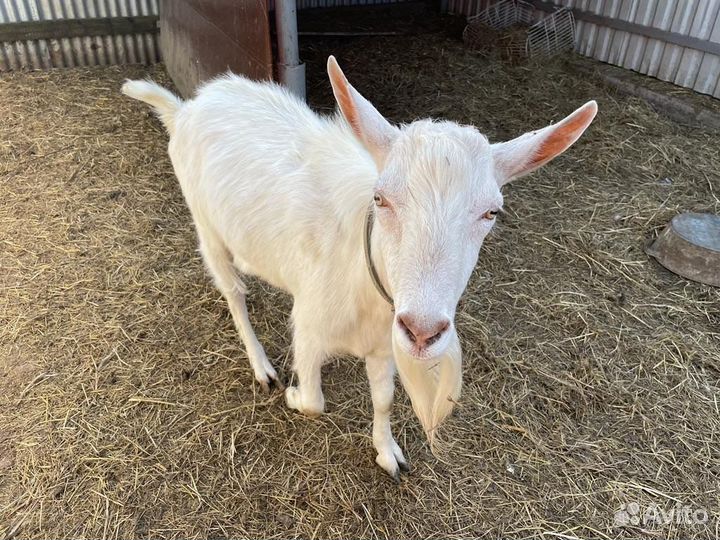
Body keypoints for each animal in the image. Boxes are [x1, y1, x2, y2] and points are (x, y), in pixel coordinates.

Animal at [122, 57, 597, 478]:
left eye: (492, 212)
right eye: (380, 198)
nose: (423, 331)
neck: (366, 284)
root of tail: (186, 107)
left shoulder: (385, 344)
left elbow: (384, 399)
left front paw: (388, 454)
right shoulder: (309, 327)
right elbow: (315, 402)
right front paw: (293, 394)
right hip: (205, 224)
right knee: (233, 292)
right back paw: (262, 367)